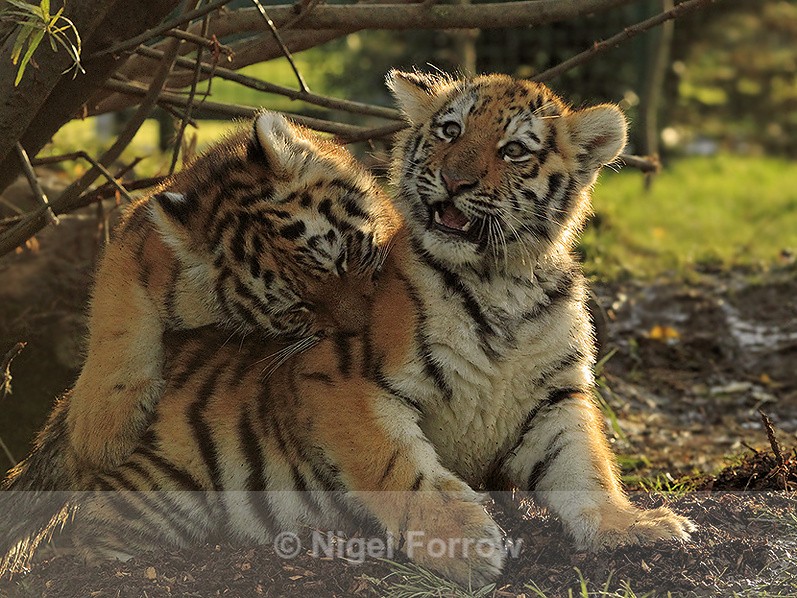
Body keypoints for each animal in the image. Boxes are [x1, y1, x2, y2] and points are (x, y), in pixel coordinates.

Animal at [65, 110, 399, 472]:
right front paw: (100, 432)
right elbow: (115, 314)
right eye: (296, 308)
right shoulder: (135, 246)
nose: (361, 329)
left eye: (344, 259)